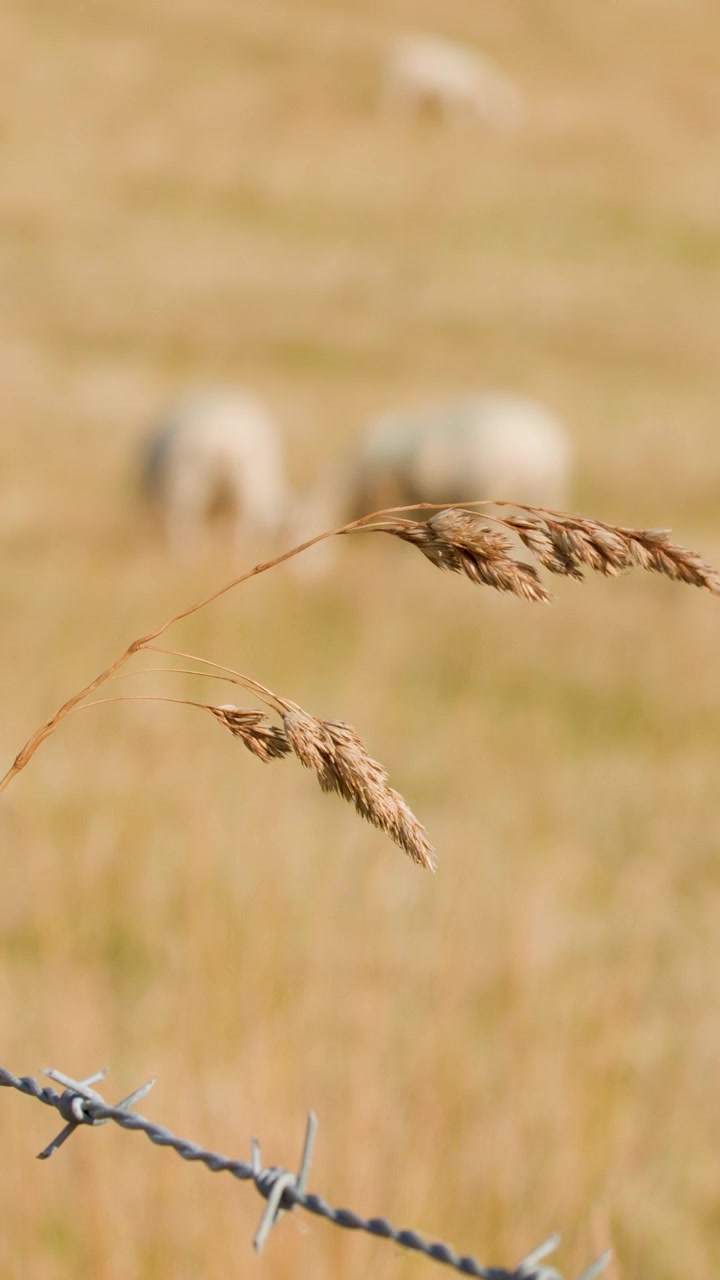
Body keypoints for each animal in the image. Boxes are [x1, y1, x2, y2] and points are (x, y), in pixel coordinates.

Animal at [383, 34, 525, 130]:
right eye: (505, 107)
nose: (513, 128)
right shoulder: (453, 97)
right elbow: (454, 116)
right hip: (400, 83)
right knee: (393, 102)